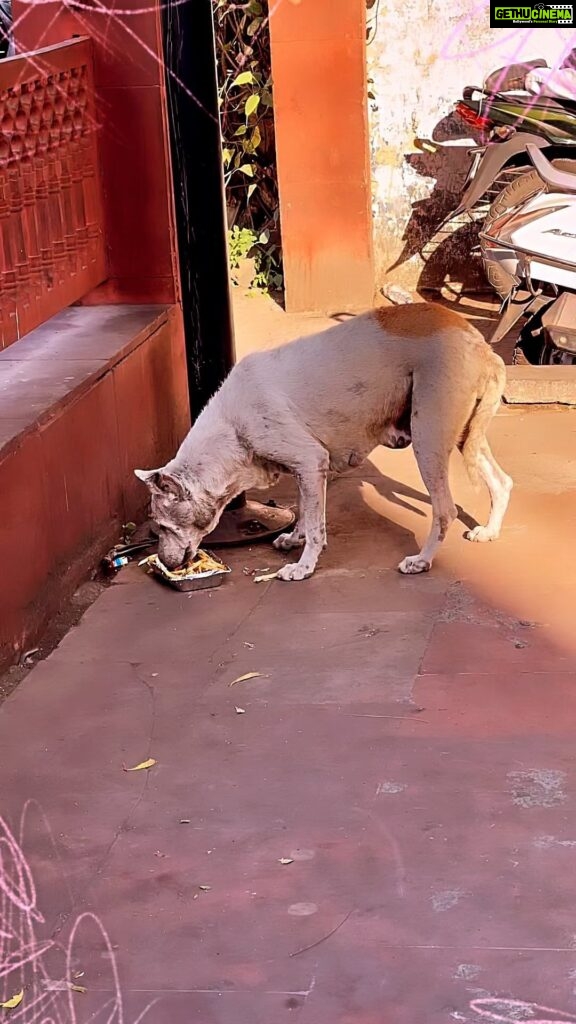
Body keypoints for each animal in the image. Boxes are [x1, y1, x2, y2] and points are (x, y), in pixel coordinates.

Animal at [135, 299, 510, 581]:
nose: (164, 564)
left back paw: (422, 560)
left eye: (163, 526)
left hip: (428, 438)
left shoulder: (310, 460)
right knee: (502, 481)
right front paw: (294, 538)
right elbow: (306, 511)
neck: (232, 427)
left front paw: (303, 566)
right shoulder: (306, 472)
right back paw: (489, 531)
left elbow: (316, 526)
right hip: (463, 436)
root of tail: (483, 346)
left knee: (446, 510)